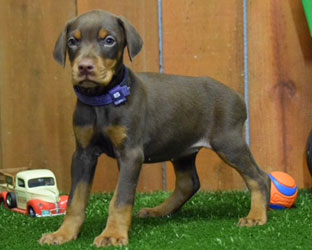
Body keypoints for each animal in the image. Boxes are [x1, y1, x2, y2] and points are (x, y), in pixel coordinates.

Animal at [40, 10, 270, 248]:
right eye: (72, 41)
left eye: (109, 40)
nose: (85, 67)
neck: (103, 100)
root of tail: (238, 96)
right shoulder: (83, 154)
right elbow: (75, 200)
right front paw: (63, 234)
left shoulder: (131, 154)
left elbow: (121, 198)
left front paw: (113, 234)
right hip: (182, 147)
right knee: (188, 183)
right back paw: (159, 211)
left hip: (228, 142)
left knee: (259, 177)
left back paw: (256, 216)